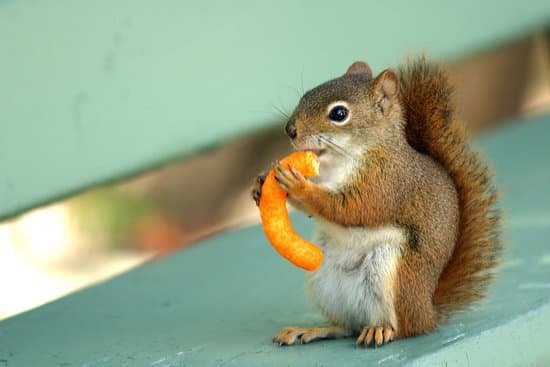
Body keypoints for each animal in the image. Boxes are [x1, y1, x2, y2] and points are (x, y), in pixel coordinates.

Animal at [252, 56, 502, 348]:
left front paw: (298, 185)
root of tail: (428, 310)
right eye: (305, 95)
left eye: (339, 114)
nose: (290, 130)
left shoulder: (385, 184)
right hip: (324, 279)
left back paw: (381, 330)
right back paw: (311, 330)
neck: (341, 163)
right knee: (346, 326)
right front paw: (260, 183)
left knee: (405, 327)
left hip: (392, 272)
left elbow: (351, 209)